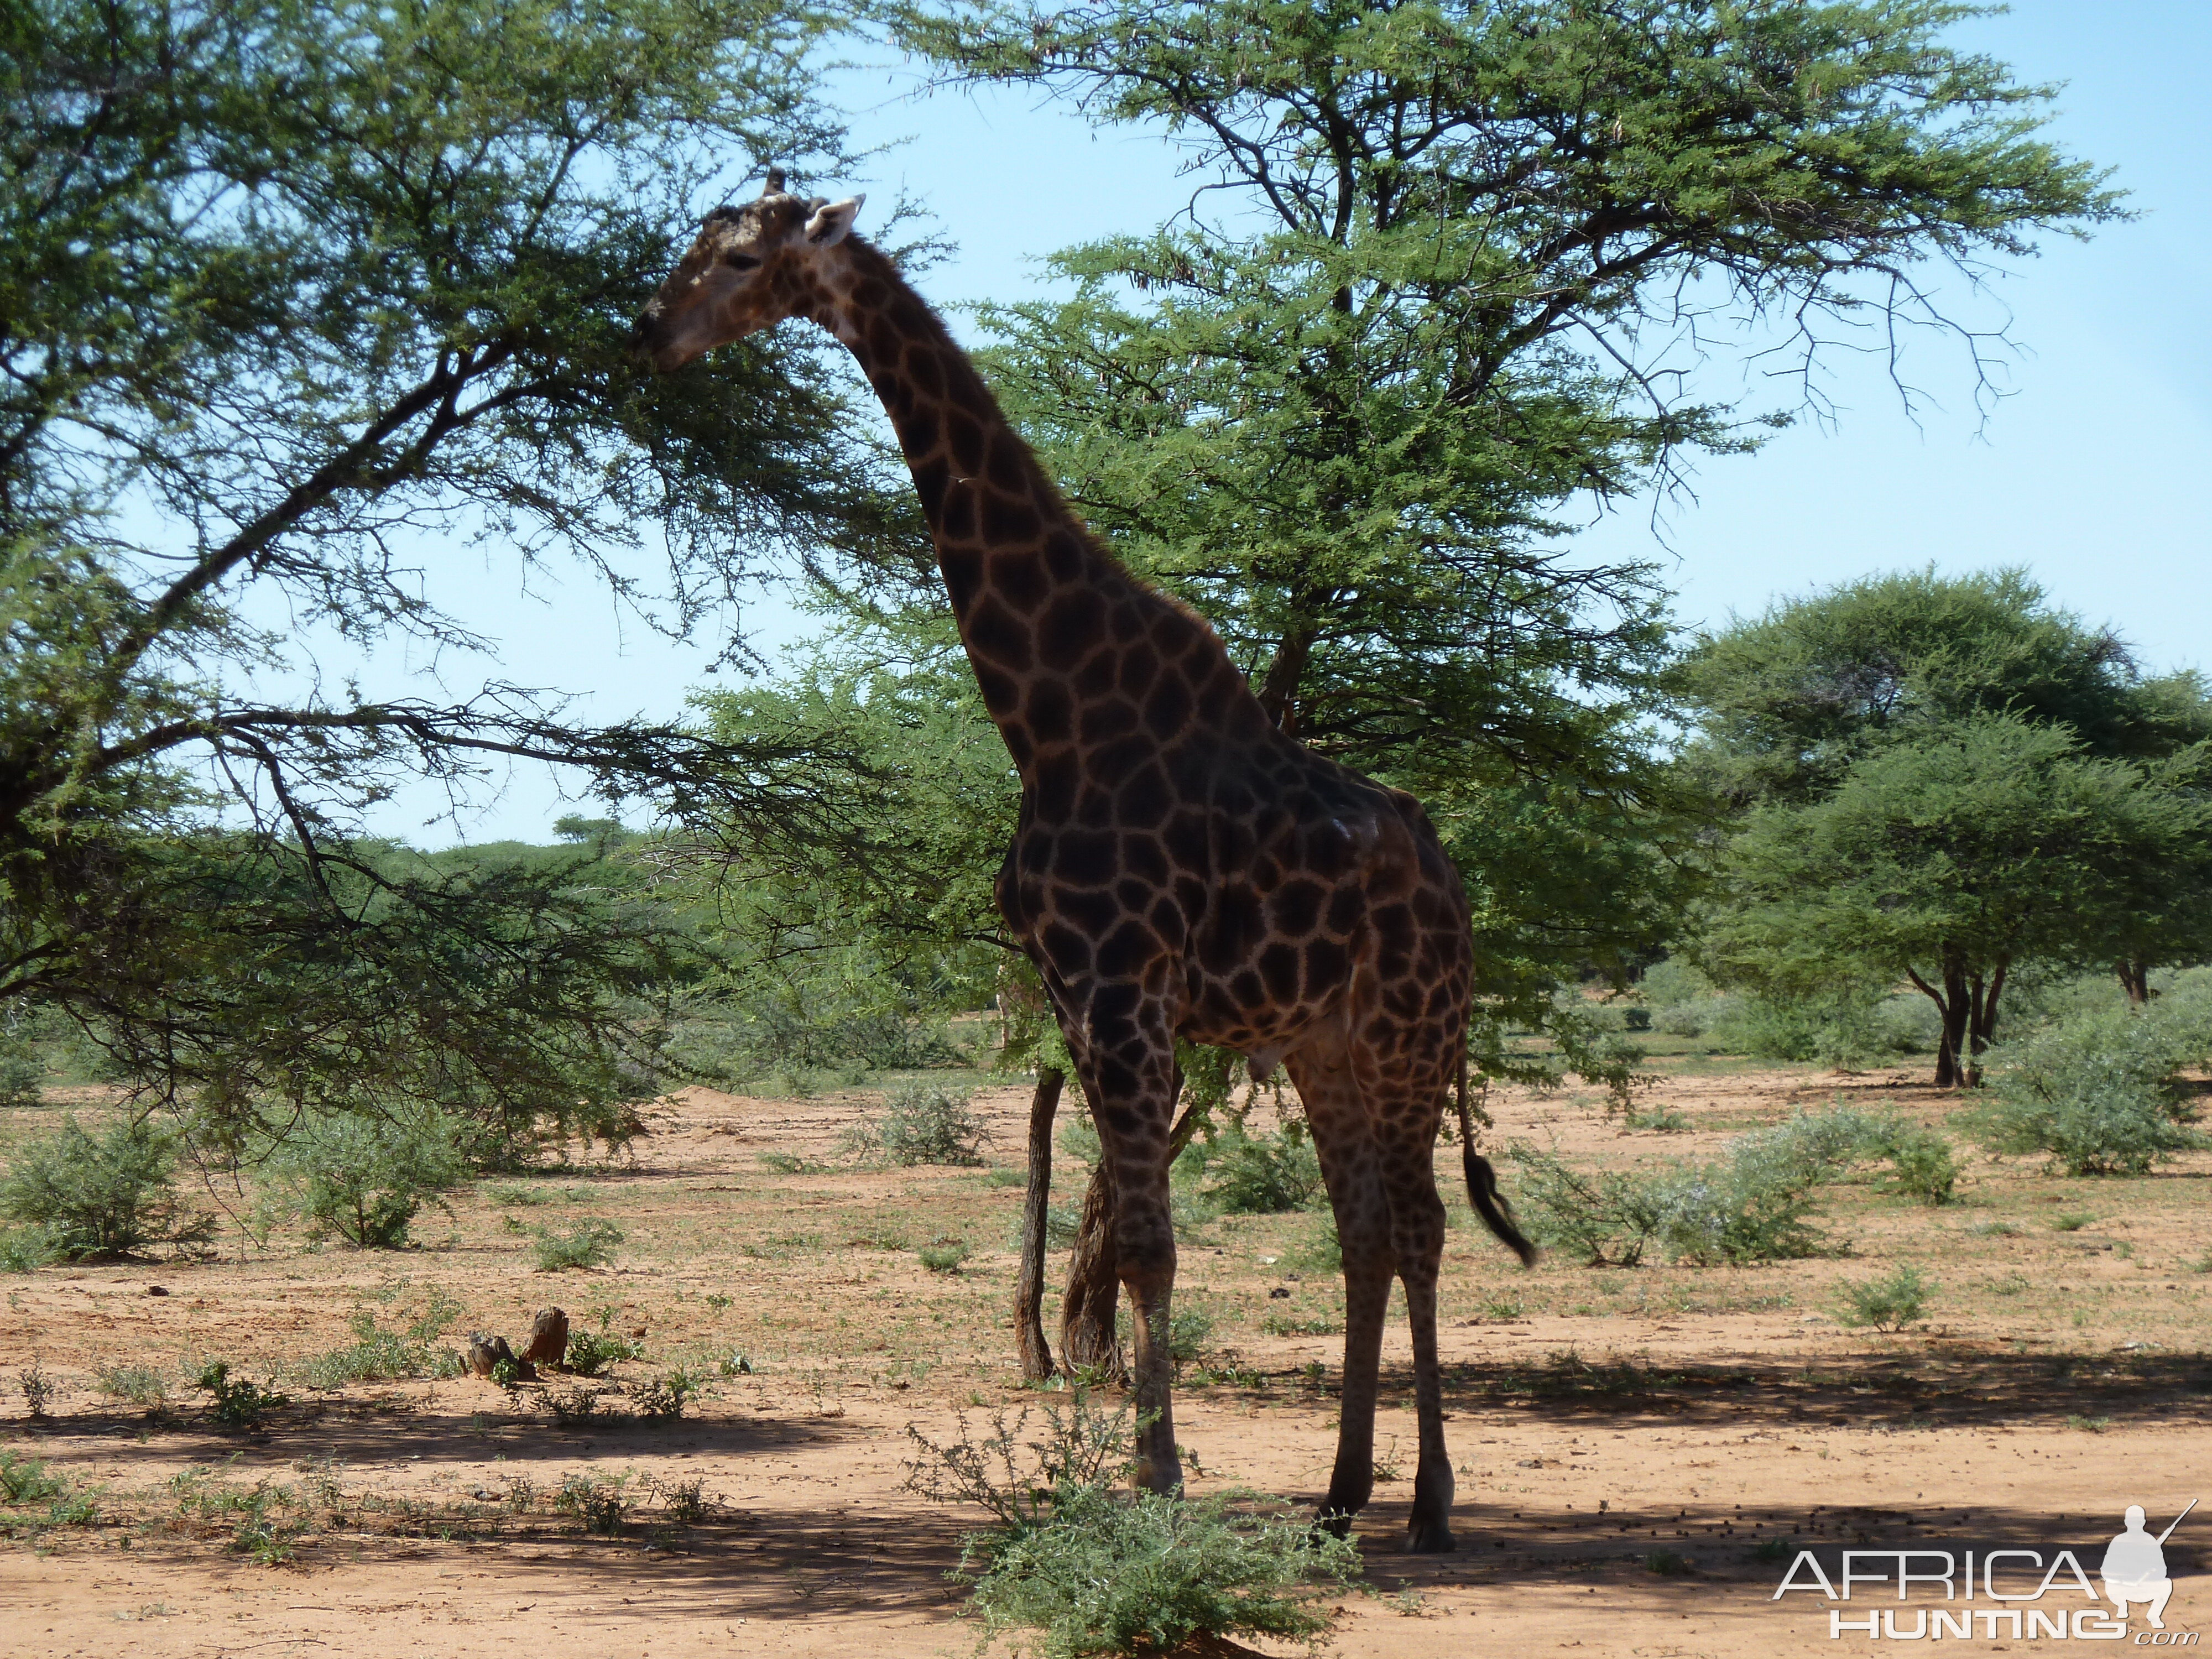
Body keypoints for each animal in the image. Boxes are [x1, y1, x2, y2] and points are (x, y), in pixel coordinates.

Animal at [641, 176, 1540, 1557]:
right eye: (694, 243)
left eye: (741, 258)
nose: (648, 333)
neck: (1050, 710)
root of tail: (1453, 887)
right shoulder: (1074, 995)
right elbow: (1126, 1239)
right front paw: (1136, 1469)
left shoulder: (1123, 988)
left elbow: (1151, 1248)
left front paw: (1151, 1479)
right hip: (1329, 1042)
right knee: (1364, 1231)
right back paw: (1338, 1494)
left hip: (1408, 1030)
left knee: (1423, 1226)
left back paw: (1430, 1505)